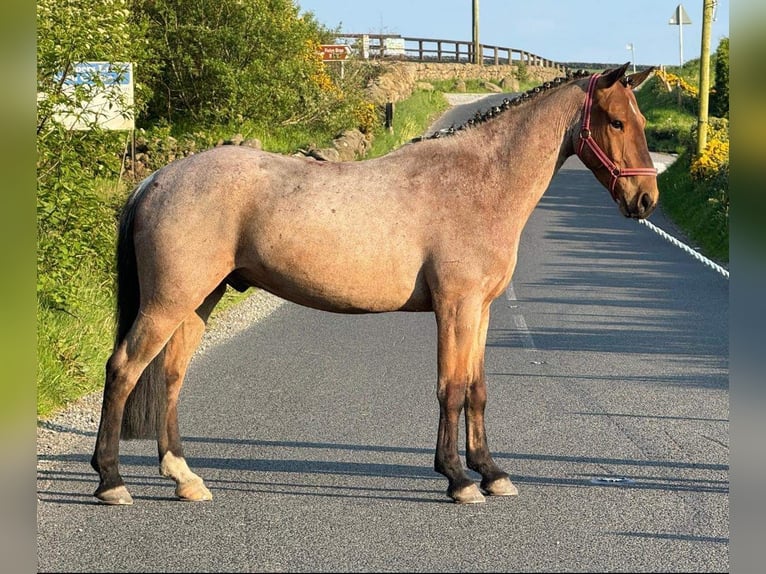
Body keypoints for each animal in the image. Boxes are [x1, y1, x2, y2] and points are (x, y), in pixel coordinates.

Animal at [91, 62, 660, 504]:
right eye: (615, 121)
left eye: (642, 121)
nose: (645, 201)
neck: (480, 181)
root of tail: (157, 178)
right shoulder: (456, 307)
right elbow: (451, 388)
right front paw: (458, 479)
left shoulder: (481, 309)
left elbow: (476, 390)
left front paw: (492, 473)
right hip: (169, 302)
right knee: (122, 369)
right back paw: (112, 482)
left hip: (198, 302)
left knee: (170, 377)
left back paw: (185, 479)